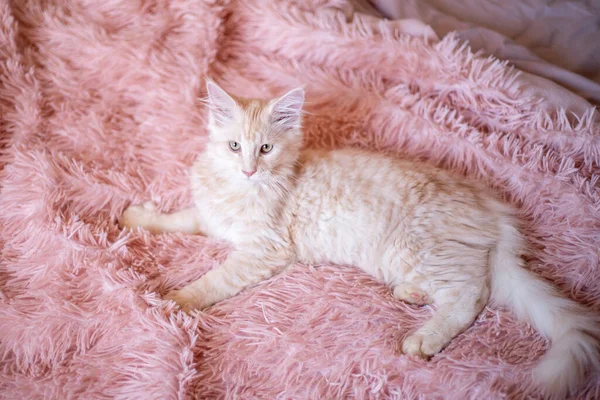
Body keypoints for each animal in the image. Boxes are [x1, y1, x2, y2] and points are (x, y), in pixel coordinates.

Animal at [118, 81, 600, 396]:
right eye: (235, 146)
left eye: (266, 149)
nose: (249, 170)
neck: (238, 190)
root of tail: (493, 210)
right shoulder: (212, 219)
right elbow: (181, 220)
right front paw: (137, 217)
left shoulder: (264, 249)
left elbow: (212, 281)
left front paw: (177, 300)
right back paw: (409, 294)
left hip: (420, 246)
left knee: (471, 296)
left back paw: (423, 339)